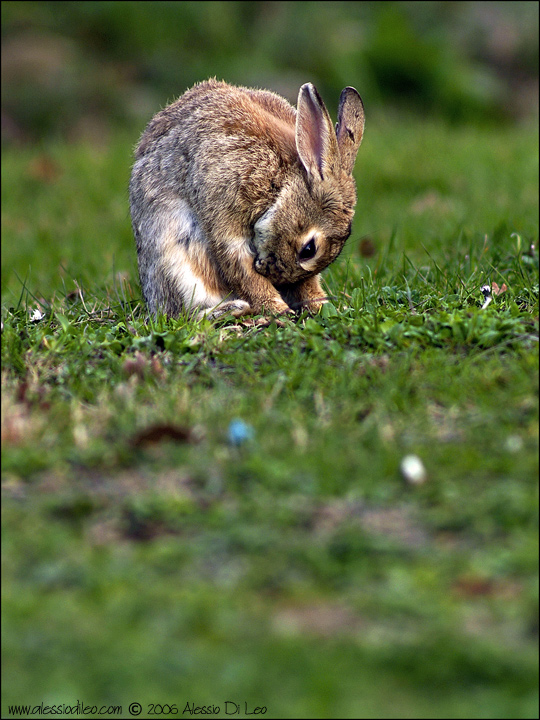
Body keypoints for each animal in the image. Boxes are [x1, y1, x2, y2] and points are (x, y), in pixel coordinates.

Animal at [129, 76, 364, 320]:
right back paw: (231, 309)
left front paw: (318, 305)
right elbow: (242, 270)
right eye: (309, 250)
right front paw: (277, 309)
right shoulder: (225, 214)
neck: (280, 185)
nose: (278, 278)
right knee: (182, 314)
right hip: (176, 260)